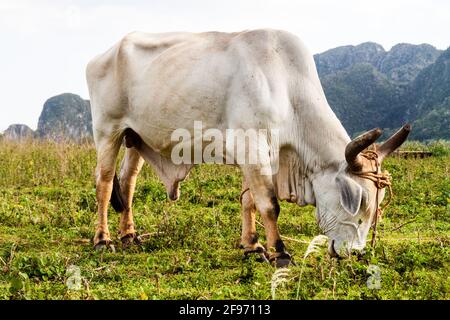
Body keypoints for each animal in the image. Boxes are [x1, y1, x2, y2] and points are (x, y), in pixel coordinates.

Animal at [85, 30, 408, 266]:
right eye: (357, 200)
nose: (353, 253)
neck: (287, 86)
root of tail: (103, 54)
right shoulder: (251, 146)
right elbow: (269, 204)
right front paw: (279, 251)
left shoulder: (264, 154)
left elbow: (249, 201)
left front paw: (251, 245)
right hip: (108, 130)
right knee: (104, 183)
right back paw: (103, 239)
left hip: (135, 137)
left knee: (127, 183)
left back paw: (129, 235)